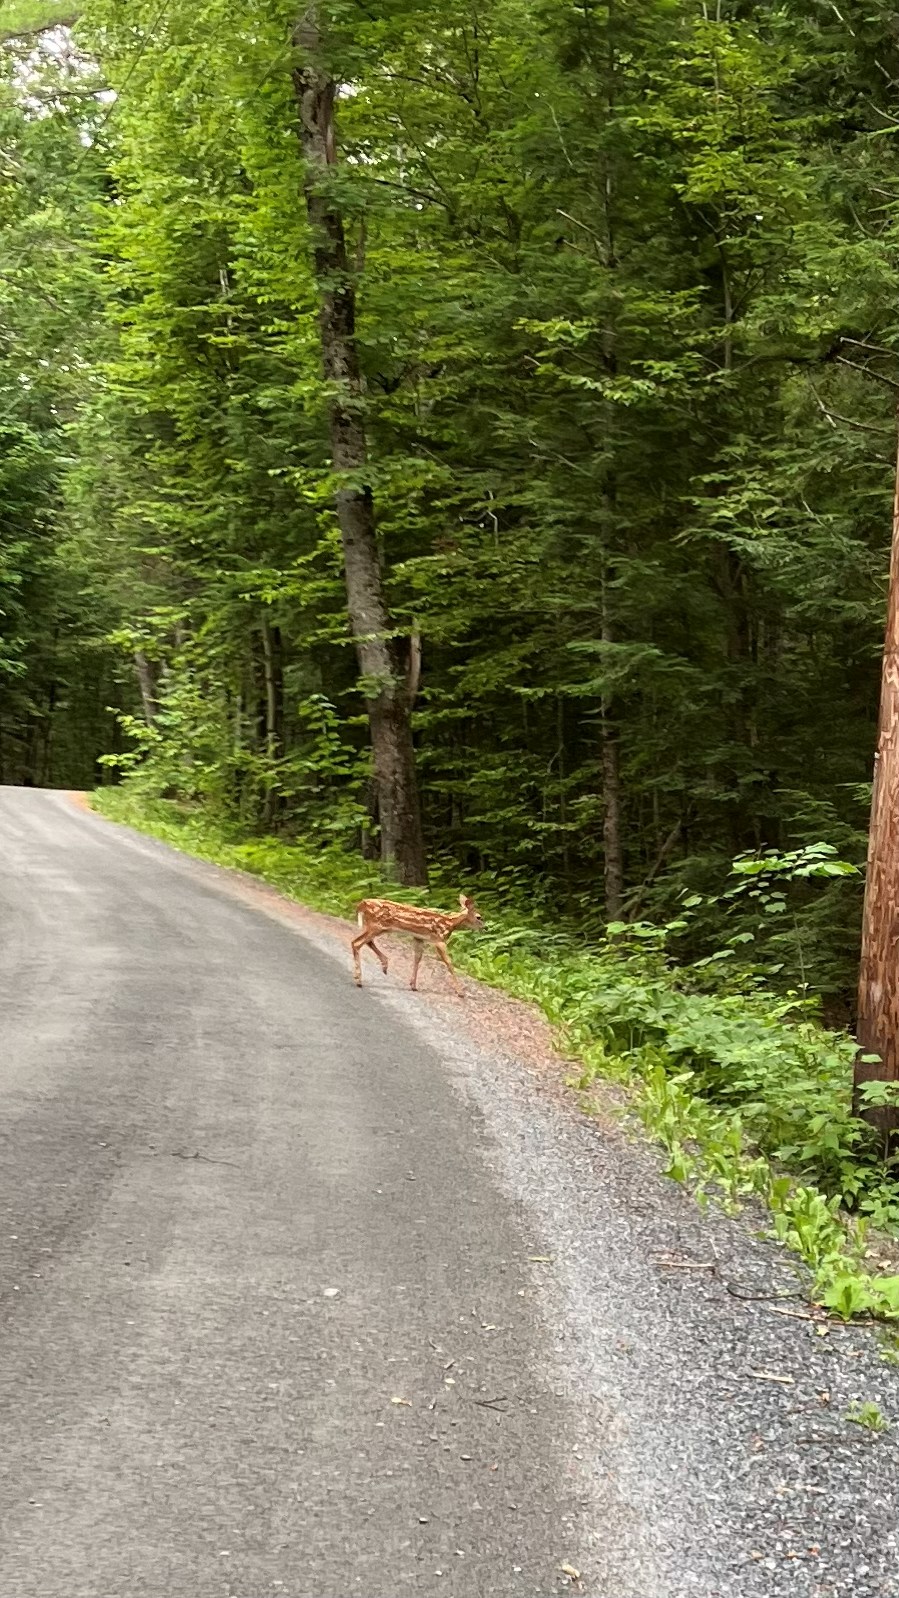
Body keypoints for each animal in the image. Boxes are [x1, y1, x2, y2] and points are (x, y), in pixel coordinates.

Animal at [351, 892, 485, 996]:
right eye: (479, 917)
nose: (485, 928)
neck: (449, 924)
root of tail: (361, 904)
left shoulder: (419, 938)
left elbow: (417, 958)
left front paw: (413, 985)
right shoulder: (439, 940)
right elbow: (449, 963)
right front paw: (460, 992)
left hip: (374, 926)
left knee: (365, 942)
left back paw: (384, 964)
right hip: (376, 925)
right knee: (357, 943)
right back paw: (359, 980)